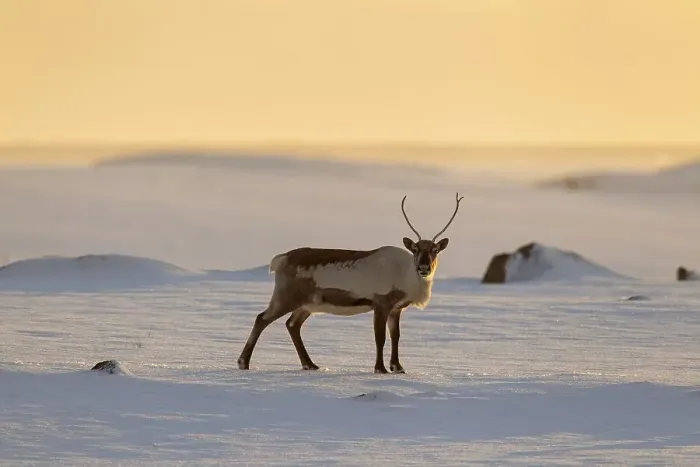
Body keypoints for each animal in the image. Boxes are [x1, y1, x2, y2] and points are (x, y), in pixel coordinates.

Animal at [237, 192, 464, 374]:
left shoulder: (397, 308)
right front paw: (380, 369)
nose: (424, 268)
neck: (406, 276)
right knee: (261, 318)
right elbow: (380, 337)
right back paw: (243, 362)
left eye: (435, 250)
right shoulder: (381, 303)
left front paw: (398, 368)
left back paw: (310, 364)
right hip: (285, 296)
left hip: (307, 304)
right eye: (415, 249)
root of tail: (280, 259)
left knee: (292, 325)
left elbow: (396, 336)